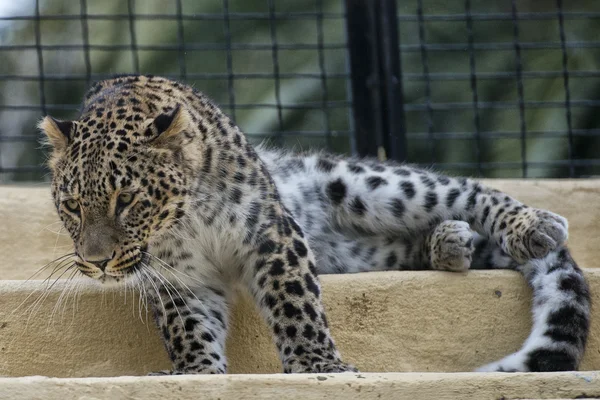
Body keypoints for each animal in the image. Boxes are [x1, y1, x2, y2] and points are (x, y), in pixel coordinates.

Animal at [39, 74, 592, 376]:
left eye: (127, 200)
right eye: (72, 206)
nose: (96, 263)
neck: (185, 221)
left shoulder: (269, 232)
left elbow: (294, 301)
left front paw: (318, 366)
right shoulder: (180, 276)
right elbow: (189, 325)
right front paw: (195, 372)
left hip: (367, 186)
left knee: (468, 192)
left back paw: (531, 225)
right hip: (355, 255)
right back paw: (450, 244)